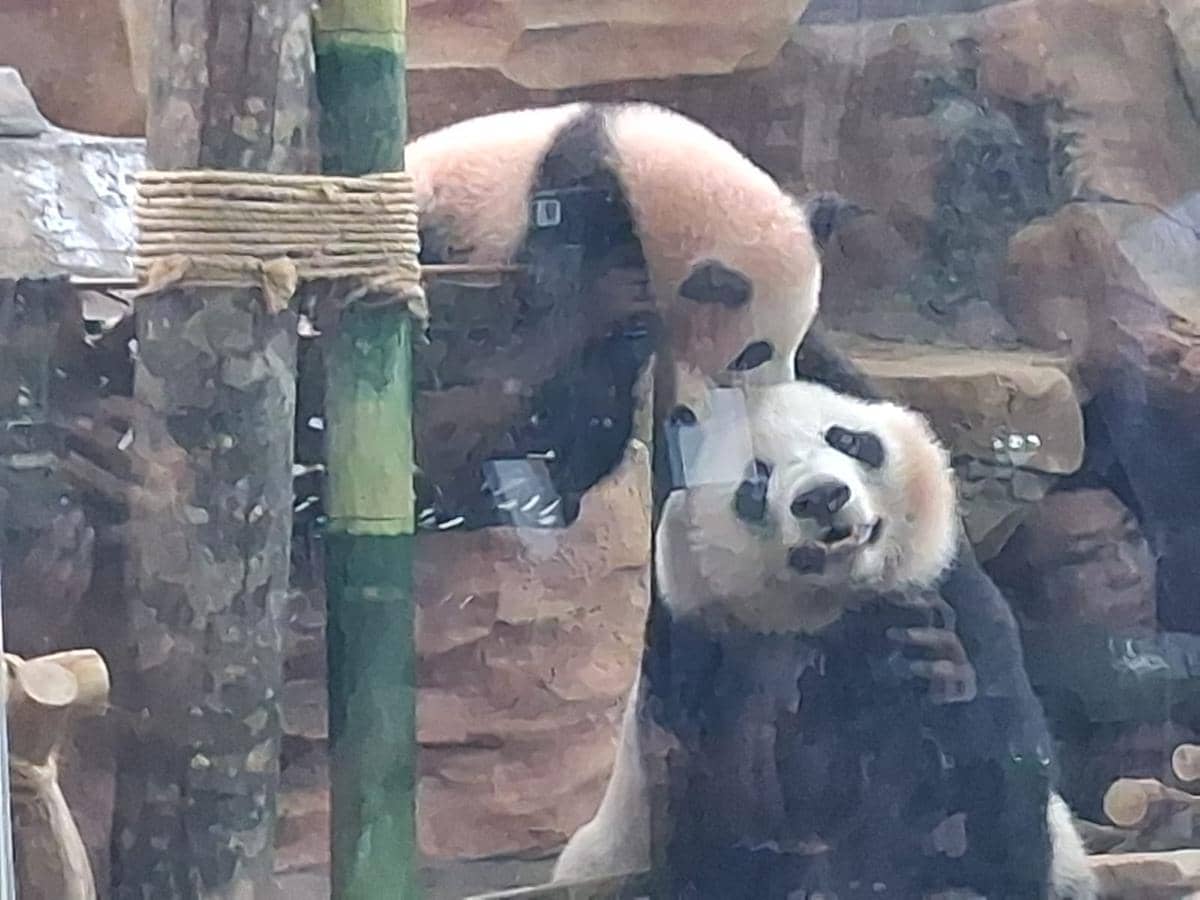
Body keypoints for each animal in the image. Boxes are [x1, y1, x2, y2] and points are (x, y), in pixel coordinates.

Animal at [552, 380, 1096, 900]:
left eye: (848, 440)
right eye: (755, 481)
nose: (821, 496)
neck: (832, 613)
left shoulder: (962, 609)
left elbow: (995, 824)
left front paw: (934, 670)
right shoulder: (701, 658)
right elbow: (728, 829)